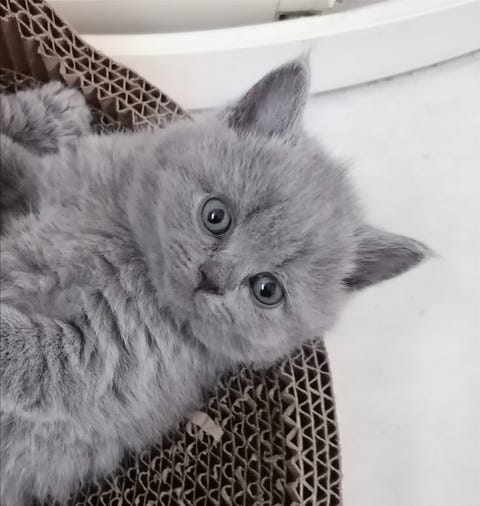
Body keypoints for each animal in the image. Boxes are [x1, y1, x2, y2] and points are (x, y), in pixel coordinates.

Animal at [0, 60, 430, 505]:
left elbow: (35, 357)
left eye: (267, 290)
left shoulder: (98, 360)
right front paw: (55, 110)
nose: (212, 278)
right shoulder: (45, 181)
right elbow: (10, 158)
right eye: (216, 216)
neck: (129, 249)